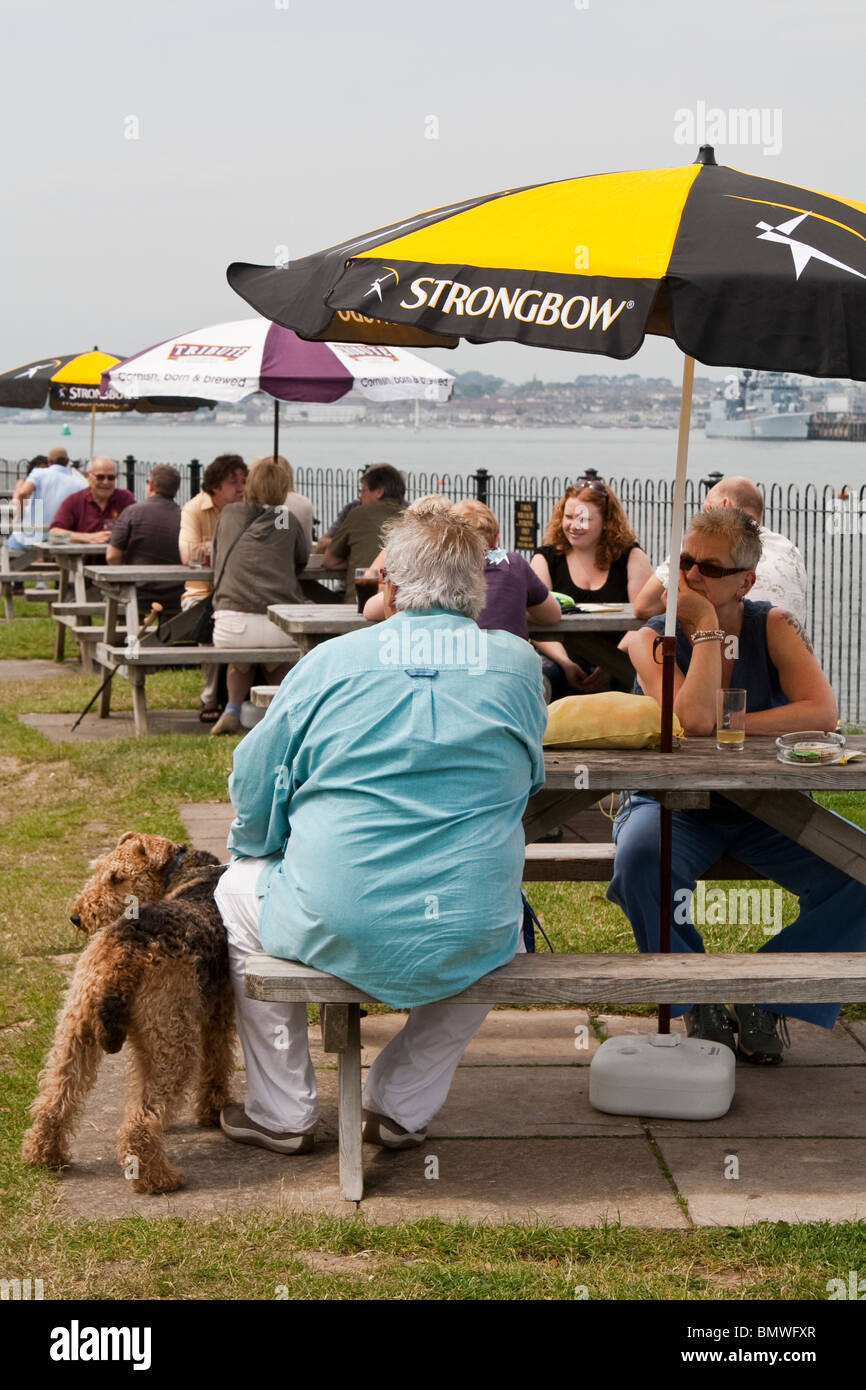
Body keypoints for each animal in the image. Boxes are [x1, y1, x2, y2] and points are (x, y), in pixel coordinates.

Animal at [22, 828, 233, 1200]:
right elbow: (218, 1063)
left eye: (116, 877)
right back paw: (157, 1178)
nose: (77, 917)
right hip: (174, 1042)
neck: (183, 874)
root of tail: (126, 947)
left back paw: (44, 1154)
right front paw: (214, 1110)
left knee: (55, 1097)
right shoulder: (219, 1010)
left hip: (78, 1029)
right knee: (141, 1121)